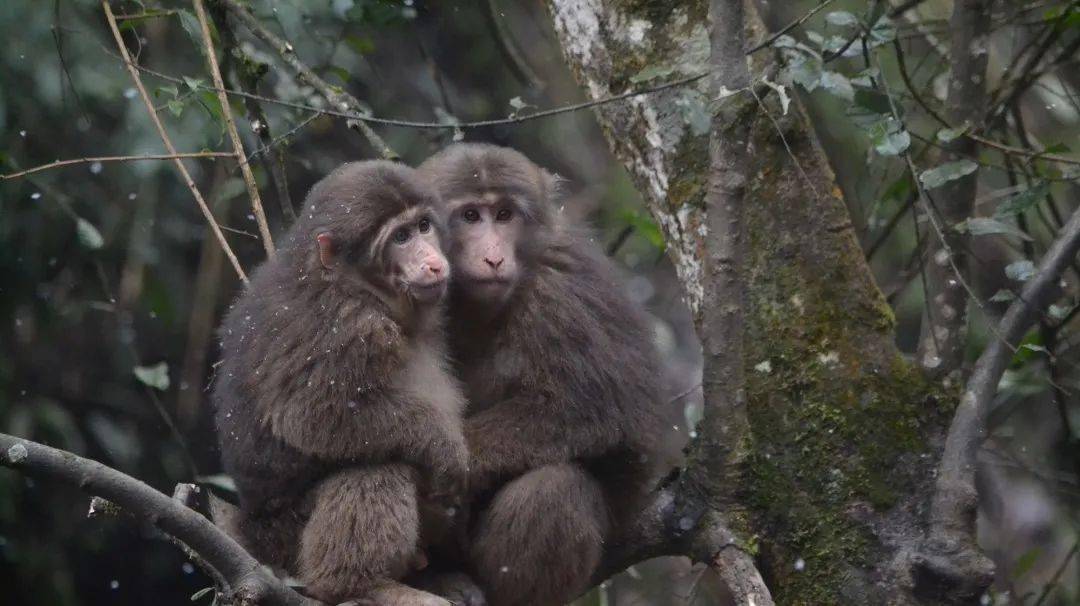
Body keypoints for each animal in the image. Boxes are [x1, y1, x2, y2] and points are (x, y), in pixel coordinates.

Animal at [214, 160, 473, 604]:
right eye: (400, 237)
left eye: (423, 226)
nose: (433, 262)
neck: (355, 287)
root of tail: (253, 528)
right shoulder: (347, 328)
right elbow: (311, 418)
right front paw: (444, 447)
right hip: (289, 538)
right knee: (376, 466)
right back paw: (363, 584)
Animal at [414, 142, 660, 604]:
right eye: (470, 216)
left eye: (504, 215)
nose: (493, 256)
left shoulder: (560, 290)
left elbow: (599, 409)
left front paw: (453, 463)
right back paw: (437, 578)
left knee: (555, 488)